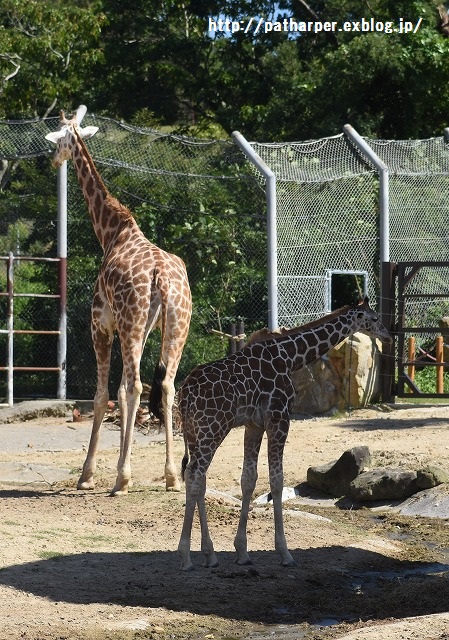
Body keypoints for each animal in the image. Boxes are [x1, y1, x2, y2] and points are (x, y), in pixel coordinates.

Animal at [45, 106, 191, 496]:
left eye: (59, 139)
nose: (53, 160)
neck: (111, 231)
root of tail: (162, 277)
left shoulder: (101, 324)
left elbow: (103, 395)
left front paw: (88, 475)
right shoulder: (136, 329)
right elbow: (126, 391)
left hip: (130, 322)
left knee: (137, 385)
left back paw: (122, 480)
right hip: (176, 324)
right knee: (166, 386)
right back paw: (173, 477)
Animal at [177, 298, 390, 568]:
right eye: (373, 318)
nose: (387, 335)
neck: (290, 356)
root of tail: (185, 395)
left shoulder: (254, 424)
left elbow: (249, 479)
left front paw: (242, 552)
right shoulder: (279, 418)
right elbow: (276, 482)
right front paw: (285, 552)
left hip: (194, 434)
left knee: (196, 477)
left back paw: (210, 555)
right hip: (212, 429)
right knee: (195, 476)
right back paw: (185, 556)